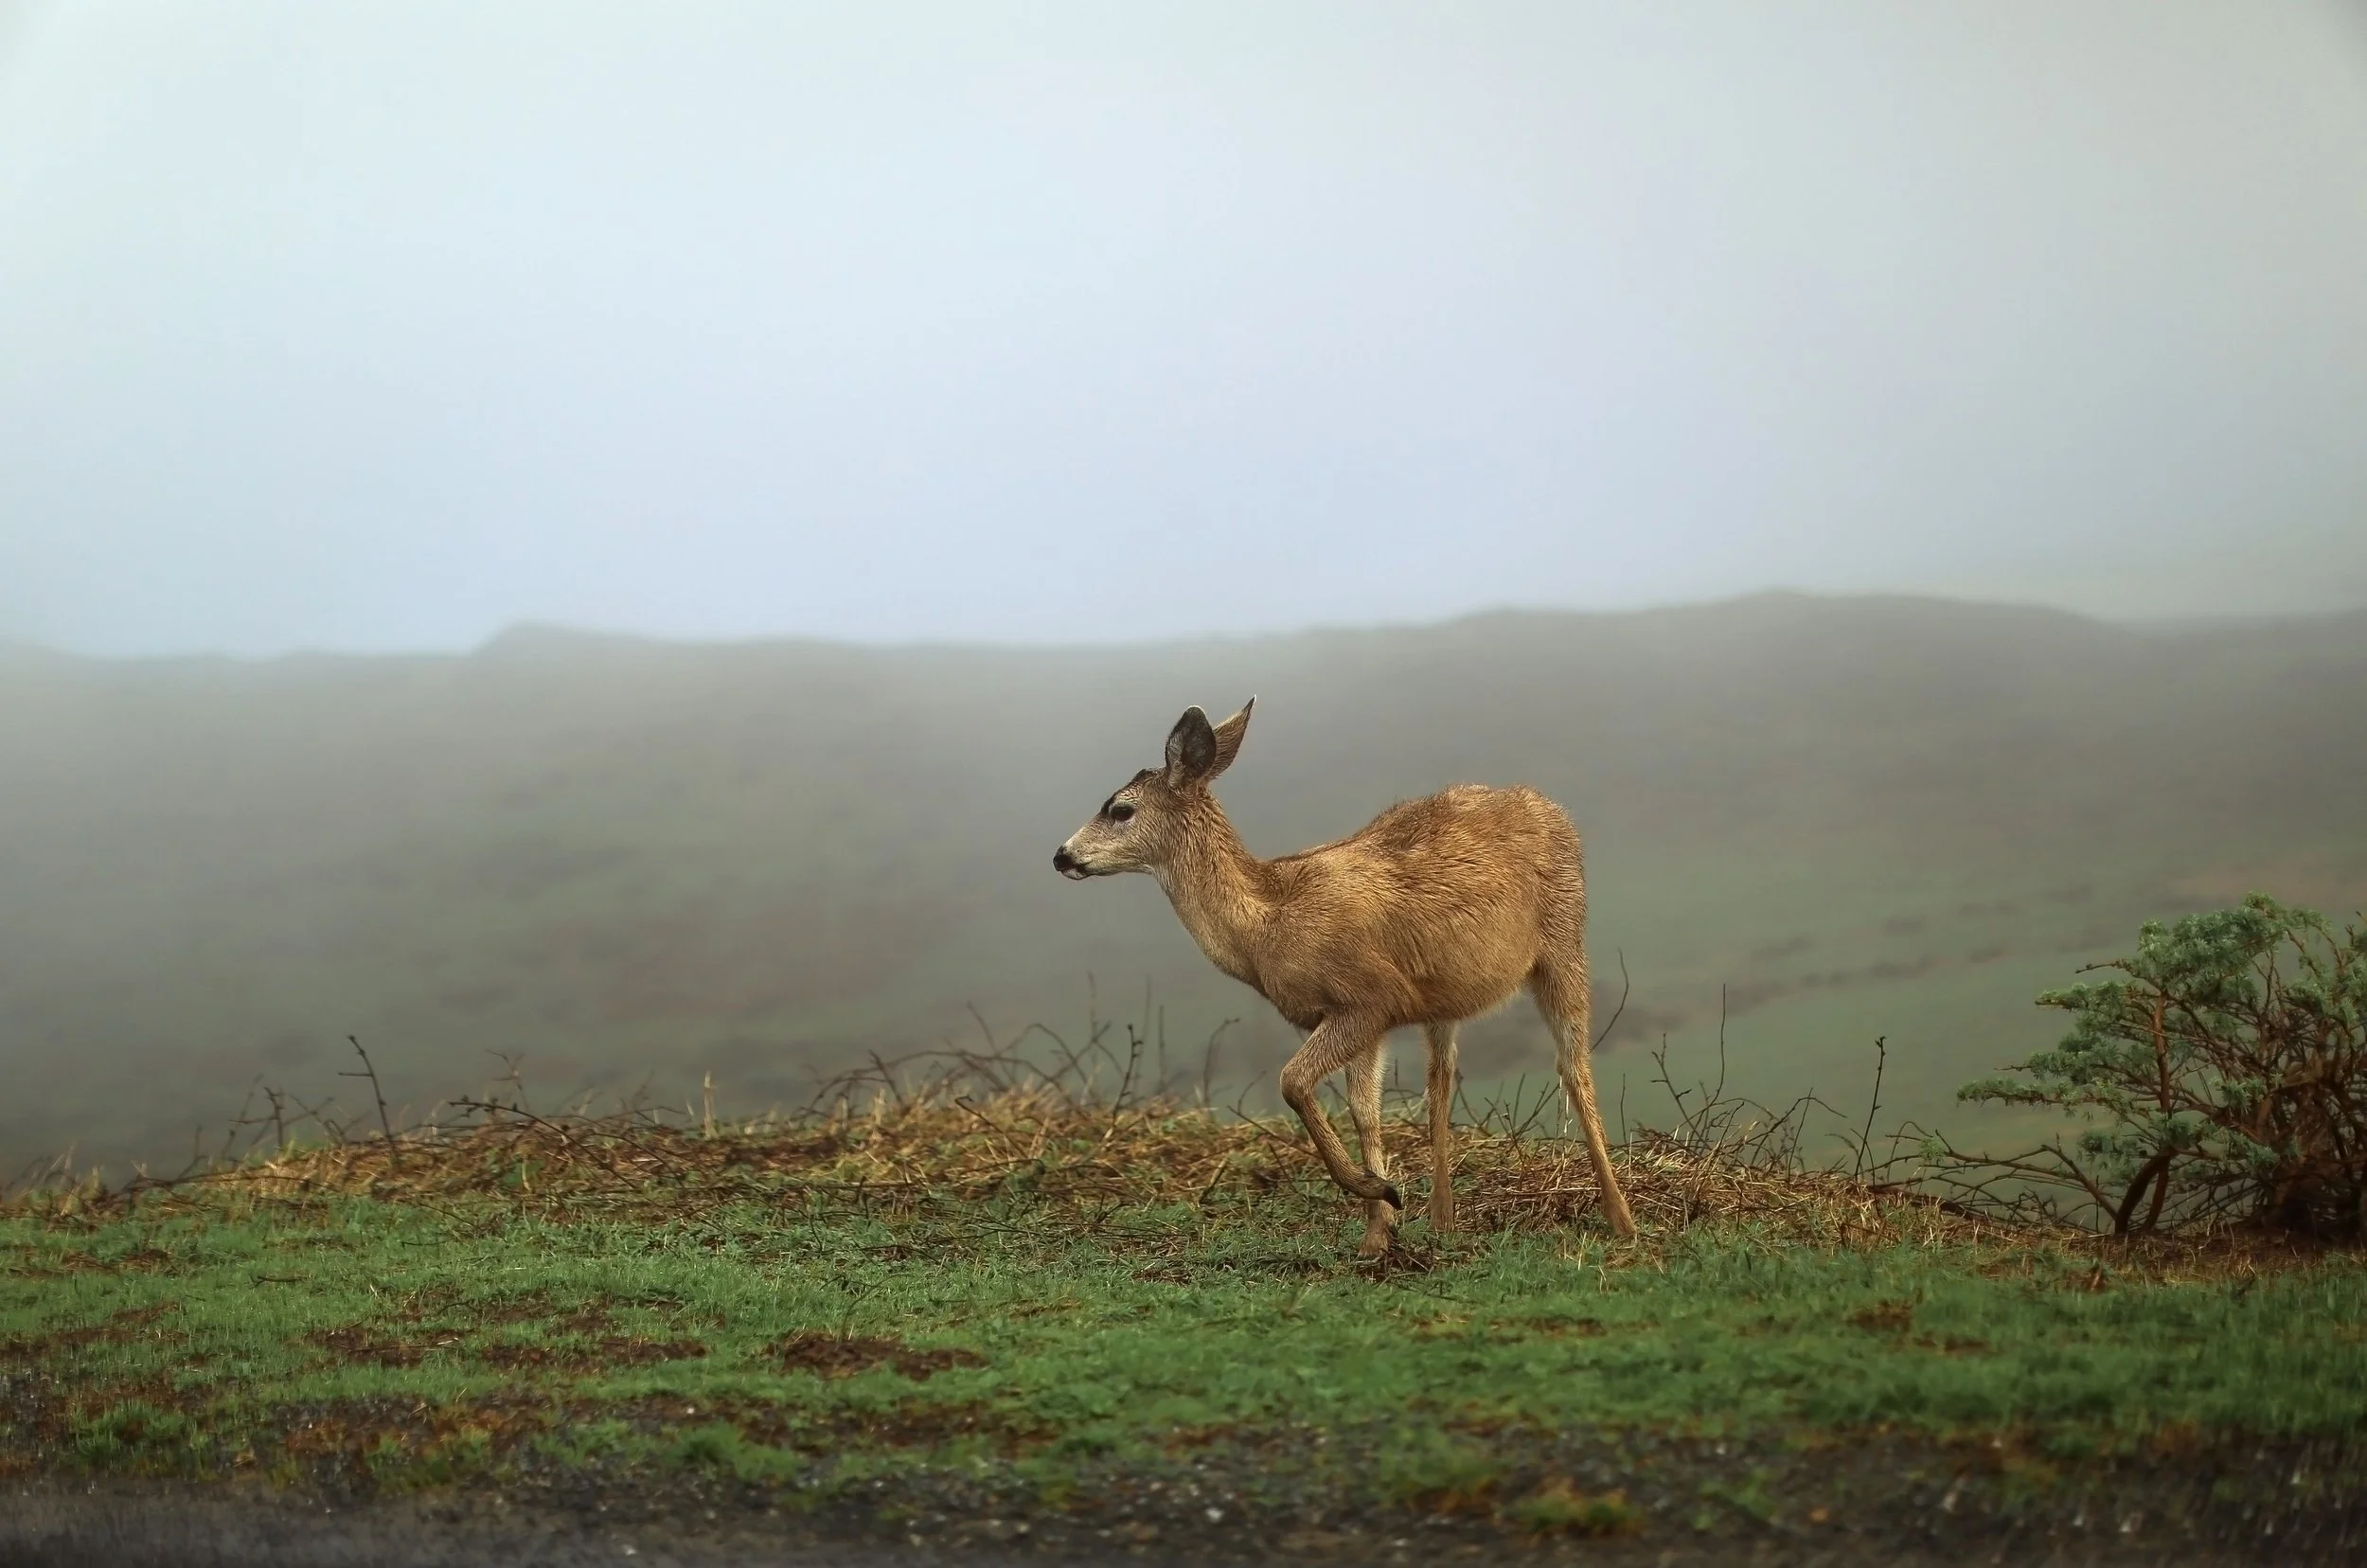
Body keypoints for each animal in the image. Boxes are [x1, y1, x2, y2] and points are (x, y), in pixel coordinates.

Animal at [1053, 700, 1636, 1256]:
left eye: (1120, 808)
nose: (1061, 855)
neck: (1266, 924)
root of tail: (1552, 807)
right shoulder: (1365, 1016)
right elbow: (1364, 1111)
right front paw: (1379, 1233)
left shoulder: (1368, 999)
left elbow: (1293, 1082)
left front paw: (1383, 1194)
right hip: (1444, 999)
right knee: (1442, 1078)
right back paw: (1444, 1220)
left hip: (1563, 941)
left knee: (1573, 1064)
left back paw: (1620, 1218)